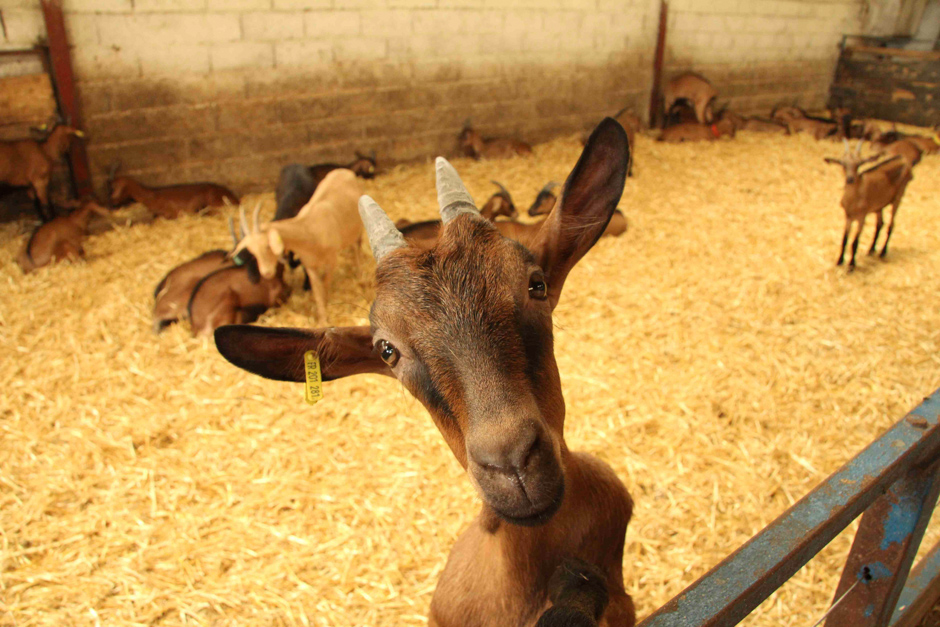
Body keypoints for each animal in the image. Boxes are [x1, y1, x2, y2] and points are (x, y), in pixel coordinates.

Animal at [828, 141, 916, 272]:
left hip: (899, 196)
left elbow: (855, 241)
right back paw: (871, 249)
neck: (854, 199)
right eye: (843, 164)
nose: (850, 179)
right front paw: (839, 261)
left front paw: (851, 265)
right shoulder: (848, 216)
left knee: (891, 225)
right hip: (878, 205)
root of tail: (903, 159)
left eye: (859, 164)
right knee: (880, 223)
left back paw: (882, 252)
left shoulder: (861, 217)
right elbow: (844, 239)